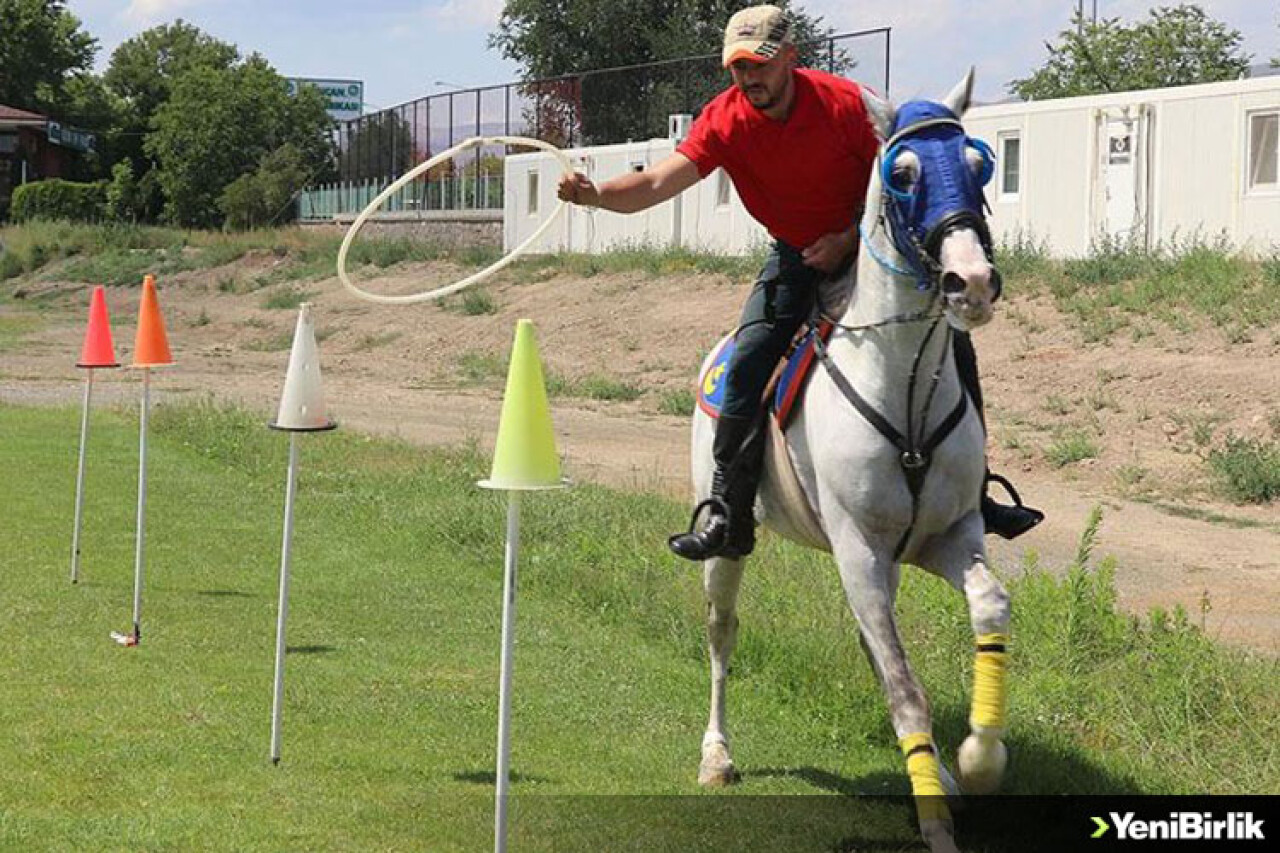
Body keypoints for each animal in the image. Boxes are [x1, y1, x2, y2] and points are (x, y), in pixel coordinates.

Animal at [691, 73, 1008, 850]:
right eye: (903, 174)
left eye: (980, 164)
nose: (970, 282)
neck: (901, 380)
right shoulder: (859, 549)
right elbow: (906, 689)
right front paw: (936, 821)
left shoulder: (947, 537)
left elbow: (988, 607)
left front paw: (977, 759)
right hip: (730, 547)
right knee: (721, 635)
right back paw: (716, 755)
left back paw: (945, 772)